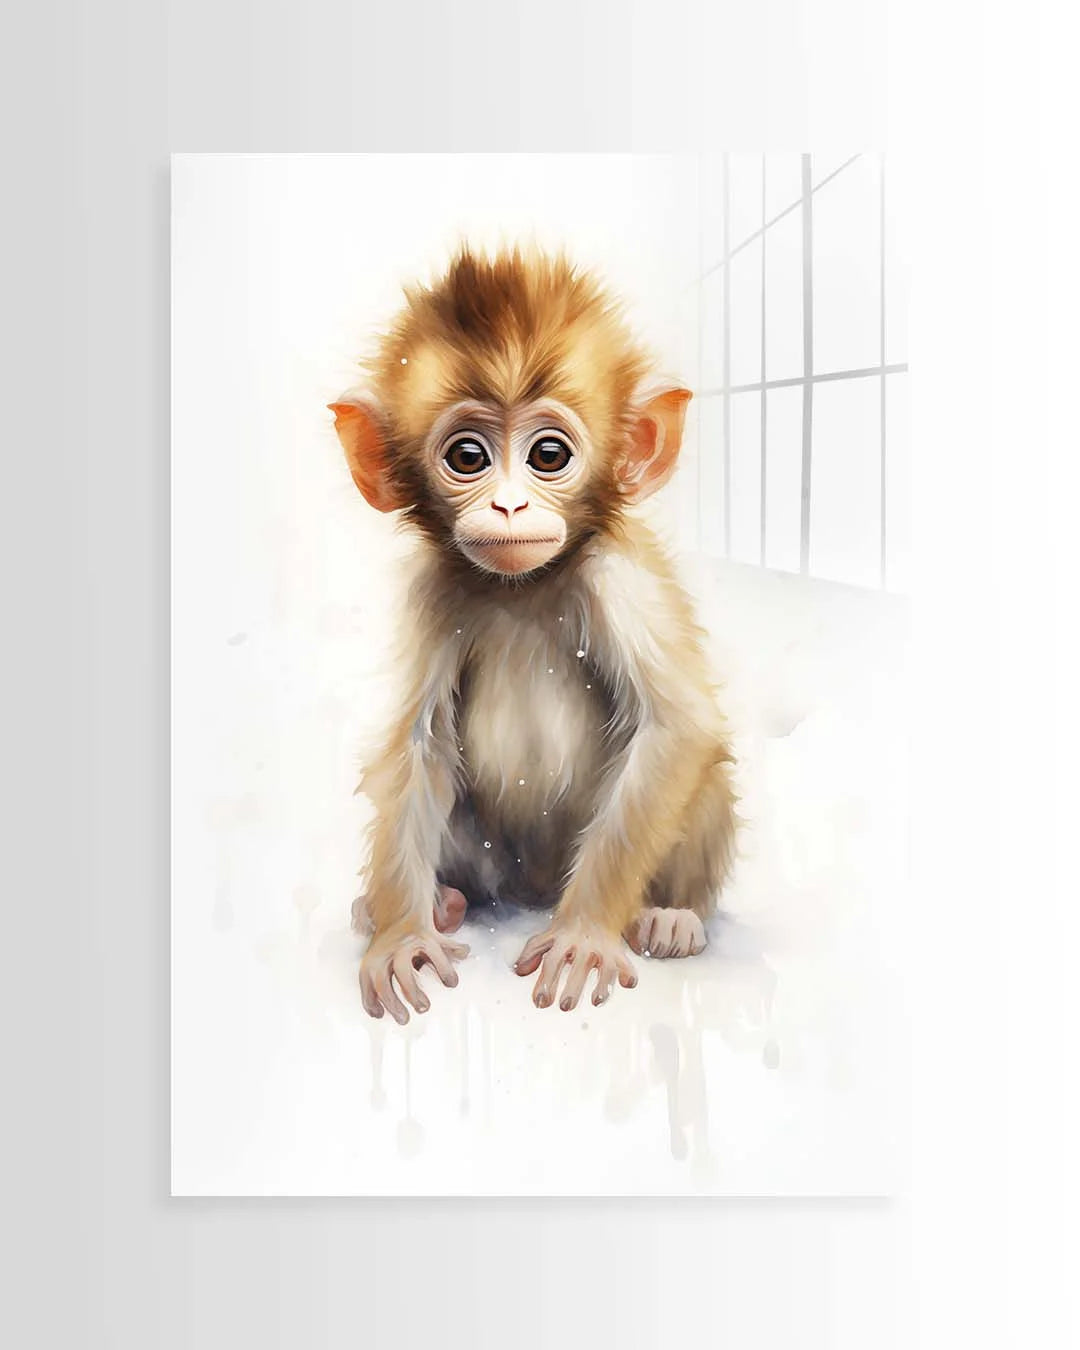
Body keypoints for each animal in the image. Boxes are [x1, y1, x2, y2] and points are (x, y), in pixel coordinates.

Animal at [330, 245, 737, 1024]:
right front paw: (401, 939)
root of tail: (534, 889)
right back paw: (433, 903)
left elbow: (678, 728)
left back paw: (673, 915)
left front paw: (584, 935)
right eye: (468, 458)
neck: (523, 587)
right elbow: (415, 743)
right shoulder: (432, 589)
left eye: (548, 455)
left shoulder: (619, 580)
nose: (510, 505)